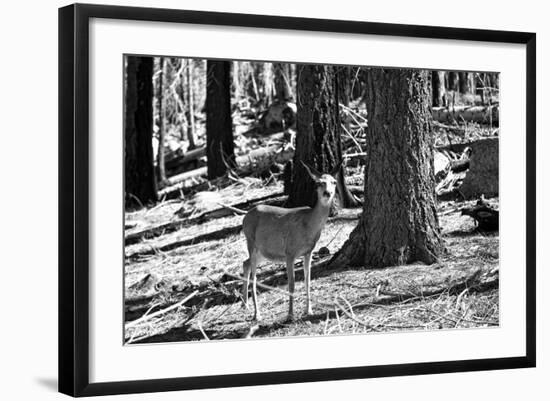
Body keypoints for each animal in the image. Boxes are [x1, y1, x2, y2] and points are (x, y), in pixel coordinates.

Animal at [242, 161, 340, 320]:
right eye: (319, 183)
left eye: (334, 182)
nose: (327, 193)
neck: (308, 225)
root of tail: (244, 217)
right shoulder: (290, 252)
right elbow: (292, 284)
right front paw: (290, 315)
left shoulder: (308, 252)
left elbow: (307, 281)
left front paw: (309, 310)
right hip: (251, 241)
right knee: (254, 277)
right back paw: (257, 314)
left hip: (263, 251)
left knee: (245, 263)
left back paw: (245, 305)